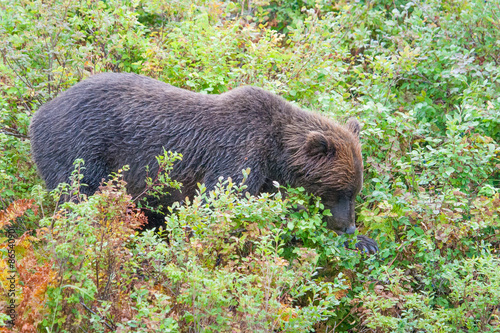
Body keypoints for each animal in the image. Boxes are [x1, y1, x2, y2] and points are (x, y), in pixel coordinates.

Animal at [29, 73, 376, 252]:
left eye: (355, 191)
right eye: (340, 191)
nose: (349, 225)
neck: (275, 151)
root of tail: (38, 113)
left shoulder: (265, 175)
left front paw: (363, 241)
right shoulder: (238, 154)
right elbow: (221, 203)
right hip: (81, 149)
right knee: (78, 198)